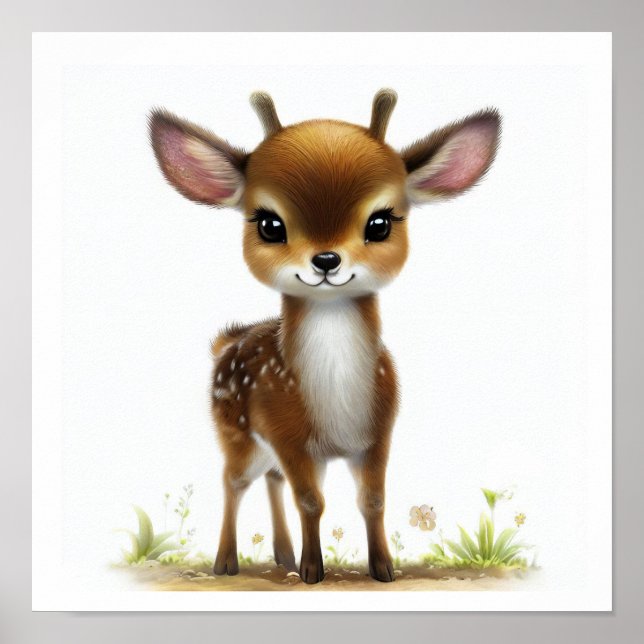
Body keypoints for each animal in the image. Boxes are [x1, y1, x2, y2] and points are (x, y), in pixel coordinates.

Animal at [149, 90, 500, 584]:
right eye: (269, 224)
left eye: (380, 223)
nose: (327, 259)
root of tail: (226, 344)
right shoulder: (289, 437)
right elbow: (312, 501)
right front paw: (313, 571)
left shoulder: (377, 433)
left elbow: (372, 501)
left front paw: (382, 569)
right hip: (235, 432)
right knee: (233, 482)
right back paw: (226, 562)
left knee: (270, 479)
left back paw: (282, 555)